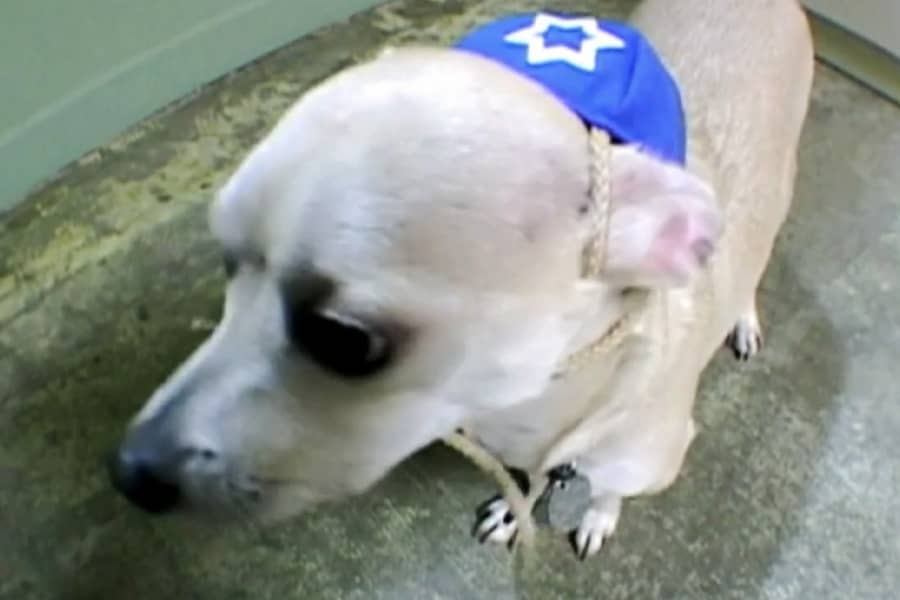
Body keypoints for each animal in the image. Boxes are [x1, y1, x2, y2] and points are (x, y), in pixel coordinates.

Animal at [107, 0, 816, 560]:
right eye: (225, 263)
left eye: (345, 340)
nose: (125, 472)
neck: (530, 414)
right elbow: (529, 481)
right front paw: (517, 505)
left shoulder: (637, 460)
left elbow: (608, 491)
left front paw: (596, 513)